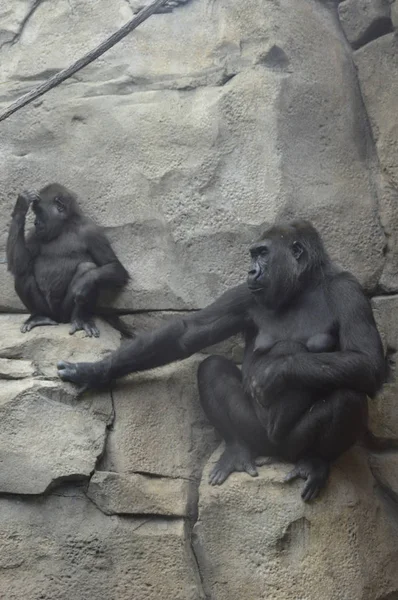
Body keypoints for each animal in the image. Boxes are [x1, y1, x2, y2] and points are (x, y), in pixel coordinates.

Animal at [6, 183, 129, 338]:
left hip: (64, 314)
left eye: (39, 211)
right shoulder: (34, 233)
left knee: (88, 269)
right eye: (35, 211)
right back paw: (38, 316)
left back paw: (80, 319)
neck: (65, 225)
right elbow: (20, 264)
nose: (35, 222)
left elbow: (114, 267)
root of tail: (58, 319)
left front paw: (84, 283)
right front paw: (21, 206)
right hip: (49, 311)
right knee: (23, 273)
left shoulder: (92, 231)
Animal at [57, 220, 388, 502]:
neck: (302, 286)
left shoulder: (349, 290)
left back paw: (315, 462)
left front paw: (276, 372)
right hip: (257, 435)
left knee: (348, 394)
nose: (251, 271)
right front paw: (94, 371)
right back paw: (238, 449)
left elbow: (367, 361)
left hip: (293, 444)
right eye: (254, 254)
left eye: (263, 253)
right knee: (211, 369)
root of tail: (275, 452)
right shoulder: (245, 295)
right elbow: (187, 333)